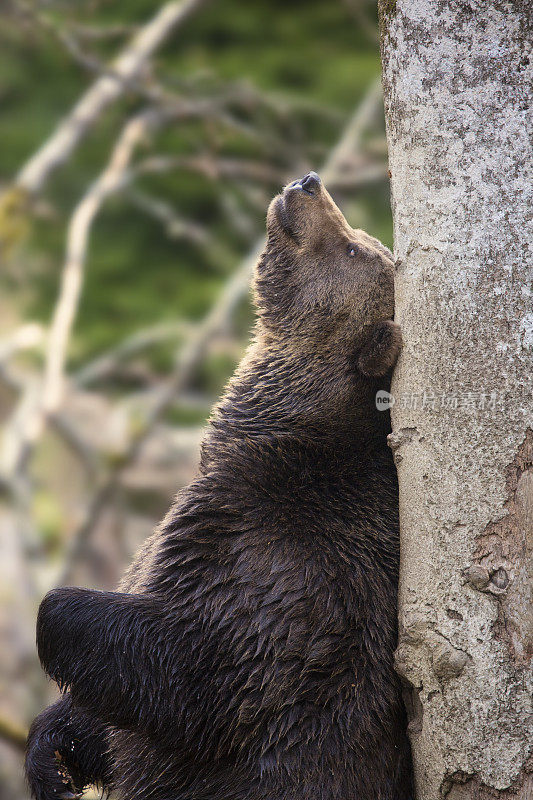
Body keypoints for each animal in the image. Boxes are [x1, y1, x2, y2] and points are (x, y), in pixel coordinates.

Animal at [25, 173, 412, 800]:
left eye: (355, 249)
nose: (308, 183)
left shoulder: (274, 555)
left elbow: (199, 670)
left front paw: (61, 613)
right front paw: (52, 757)